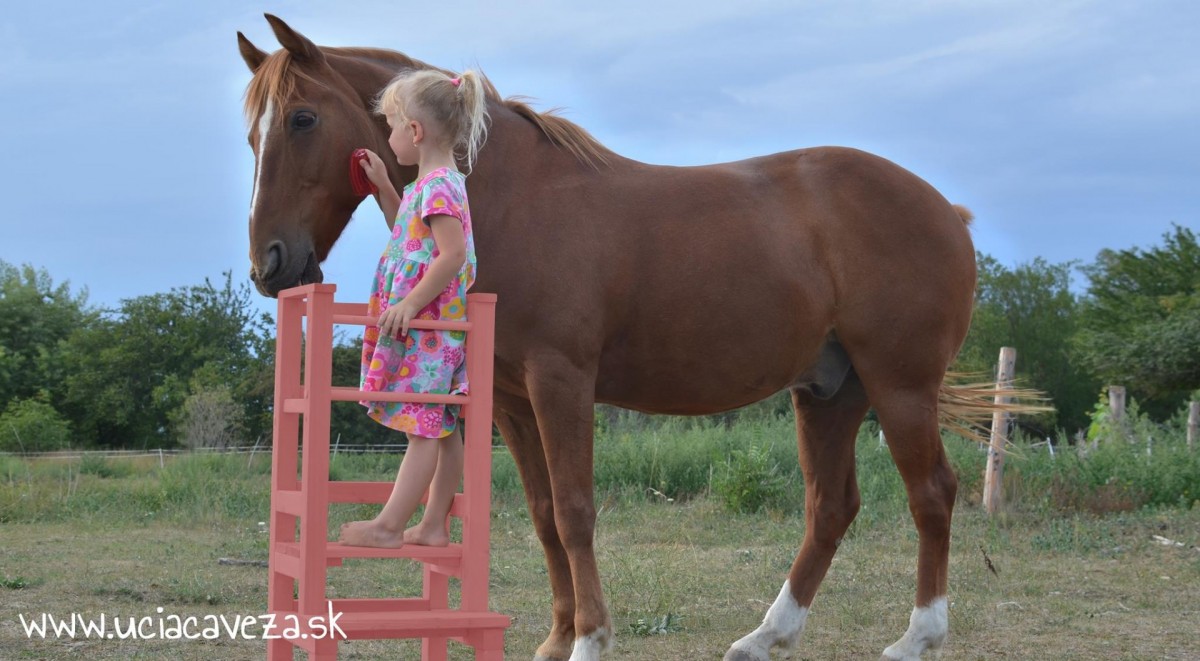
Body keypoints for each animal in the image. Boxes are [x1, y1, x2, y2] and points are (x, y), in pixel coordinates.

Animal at [236, 15, 1003, 661]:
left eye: (302, 118)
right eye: (252, 135)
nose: (270, 265)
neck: (514, 198)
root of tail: (946, 209)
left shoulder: (561, 381)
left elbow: (577, 511)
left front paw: (590, 638)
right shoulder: (513, 401)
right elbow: (545, 515)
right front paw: (555, 638)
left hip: (899, 385)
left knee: (931, 493)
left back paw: (917, 637)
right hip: (829, 391)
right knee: (830, 508)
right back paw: (766, 635)